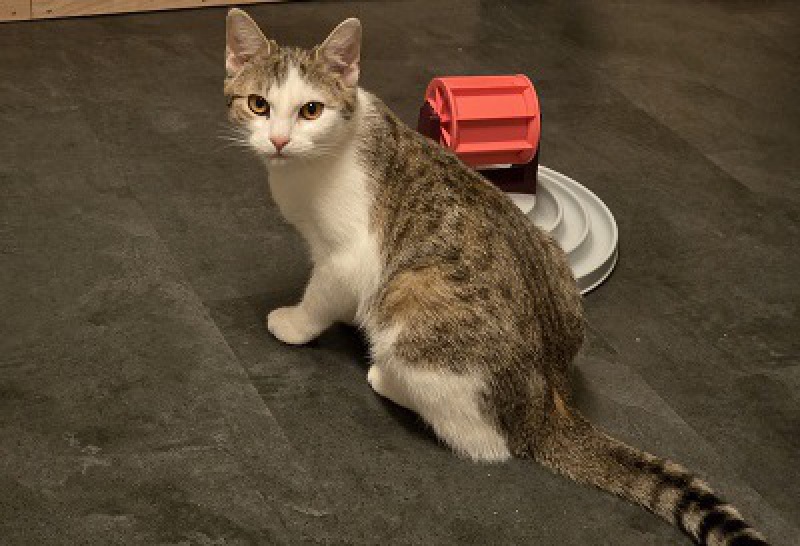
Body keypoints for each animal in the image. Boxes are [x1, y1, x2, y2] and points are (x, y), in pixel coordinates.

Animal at [223, 9, 769, 546]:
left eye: (311, 110)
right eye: (258, 105)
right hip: (550, 257)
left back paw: (385, 378)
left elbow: (321, 295)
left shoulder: (349, 259)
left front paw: (294, 323)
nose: (278, 140)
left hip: (411, 298)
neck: (321, 159)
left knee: (485, 441)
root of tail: (549, 402)